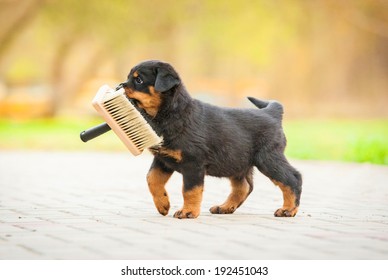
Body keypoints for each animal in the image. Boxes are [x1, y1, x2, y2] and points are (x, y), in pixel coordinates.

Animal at [119, 60, 302, 219]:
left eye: (139, 80)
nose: (120, 85)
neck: (168, 114)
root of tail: (271, 113)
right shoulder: (163, 159)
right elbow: (152, 179)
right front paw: (163, 205)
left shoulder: (193, 163)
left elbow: (190, 190)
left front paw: (188, 212)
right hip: (237, 161)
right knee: (244, 186)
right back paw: (225, 207)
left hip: (267, 158)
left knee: (293, 178)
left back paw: (288, 209)